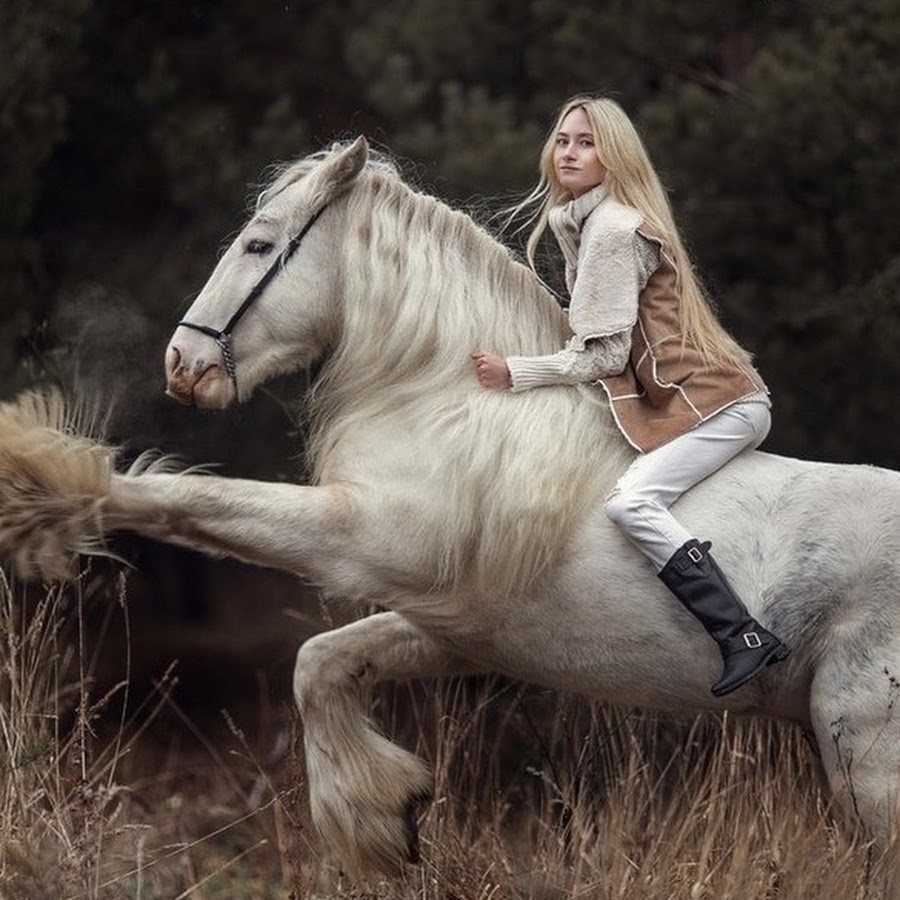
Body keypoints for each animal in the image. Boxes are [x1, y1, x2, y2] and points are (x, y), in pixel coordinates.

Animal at [1, 137, 900, 876]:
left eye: (258, 244)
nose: (182, 365)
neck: (450, 402)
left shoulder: (358, 539)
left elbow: (184, 499)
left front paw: (38, 481)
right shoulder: (453, 620)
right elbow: (321, 662)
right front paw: (387, 822)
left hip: (869, 763)